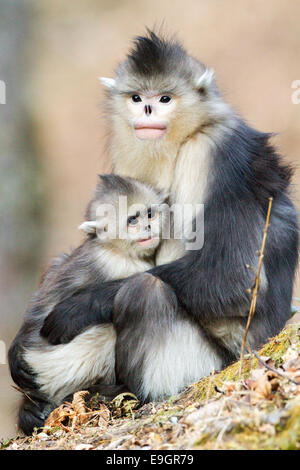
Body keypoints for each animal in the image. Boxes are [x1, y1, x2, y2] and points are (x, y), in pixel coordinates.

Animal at [15, 33, 298, 404]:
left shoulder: (217, 151)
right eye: (137, 98)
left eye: (164, 98)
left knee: (145, 291)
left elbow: (234, 278)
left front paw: (79, 306)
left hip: (210, 362)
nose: (147, 109)